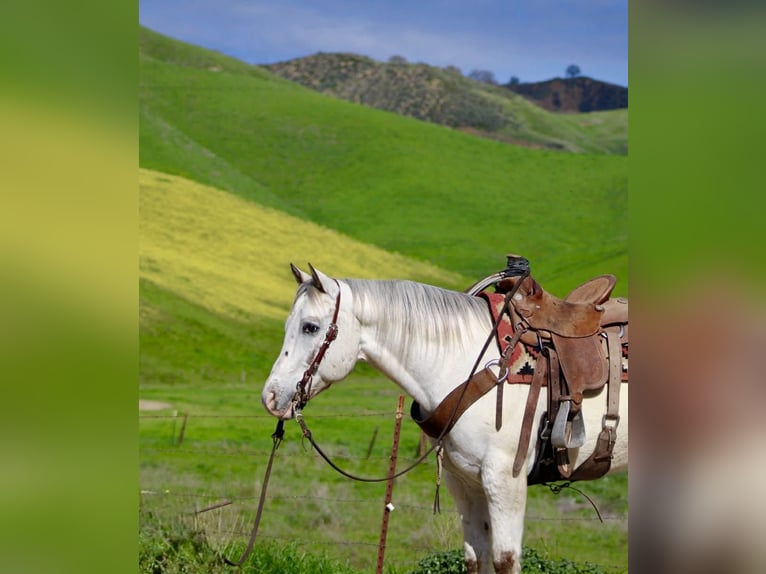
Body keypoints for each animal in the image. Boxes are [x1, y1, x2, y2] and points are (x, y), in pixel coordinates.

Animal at [261, 264, 628, 574]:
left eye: (310, 327)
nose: (271, 397)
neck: (464, 363)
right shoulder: (463, 482)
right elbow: (476, 558)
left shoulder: (504, 480)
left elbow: (504, 560)